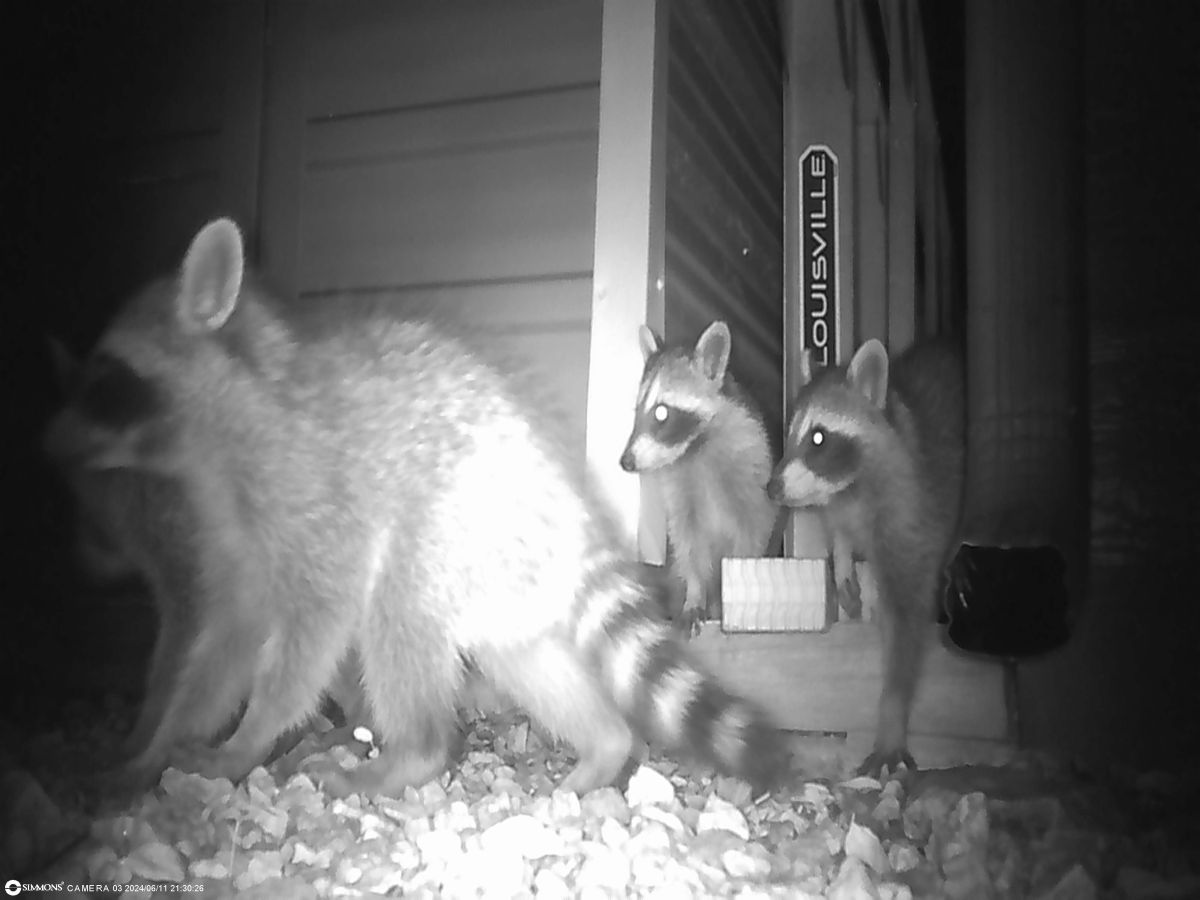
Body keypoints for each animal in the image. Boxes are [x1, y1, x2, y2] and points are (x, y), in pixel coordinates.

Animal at [619, 321, 777, 628]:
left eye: (661, 413)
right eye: (637, 411)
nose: (626, 462)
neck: (695, 446)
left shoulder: (750, 470)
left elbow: (751, 535)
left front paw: (736, 598)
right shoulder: (680, 490)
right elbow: (688, 543)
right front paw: (695, 594)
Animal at [768, 338, 964, 777]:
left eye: (818, 439)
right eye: (790, 434)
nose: (772, 487)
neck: (850, 488)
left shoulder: (913, 519)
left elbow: (905, 626)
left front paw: (892, 717)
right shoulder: (843, 507)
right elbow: (840, 532)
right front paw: (841, 554)